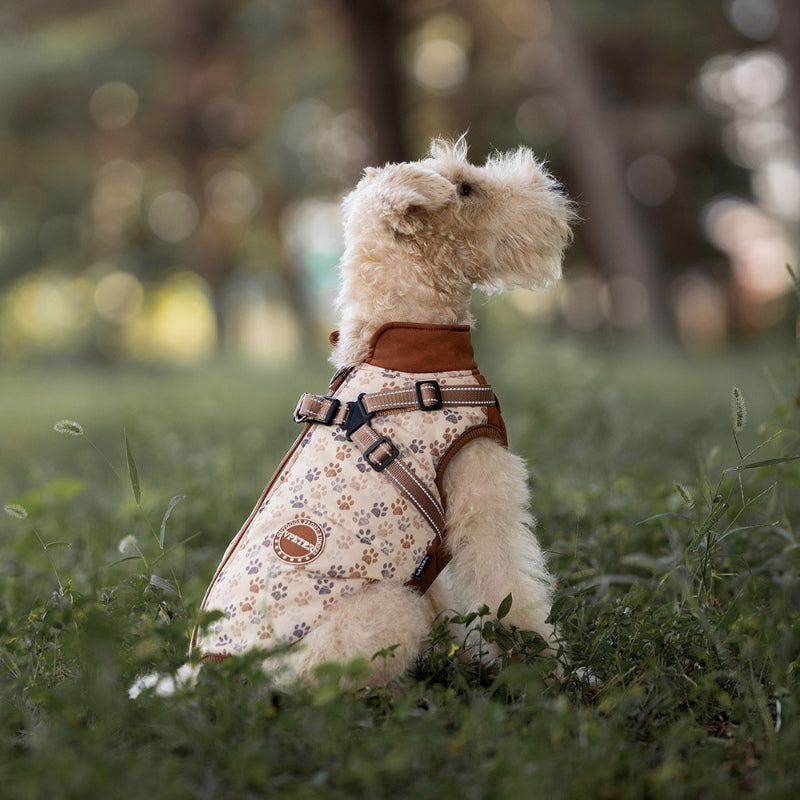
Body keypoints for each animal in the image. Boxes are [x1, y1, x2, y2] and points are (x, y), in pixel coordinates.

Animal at [191, 138, 572, 688]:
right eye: (464, 188)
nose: (554, 186)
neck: (406, 345)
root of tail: (208, 673)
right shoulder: (484, 500)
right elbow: (513, 595)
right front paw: (551, 672)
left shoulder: (427, 556)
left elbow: (447, 601)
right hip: (388, 611)